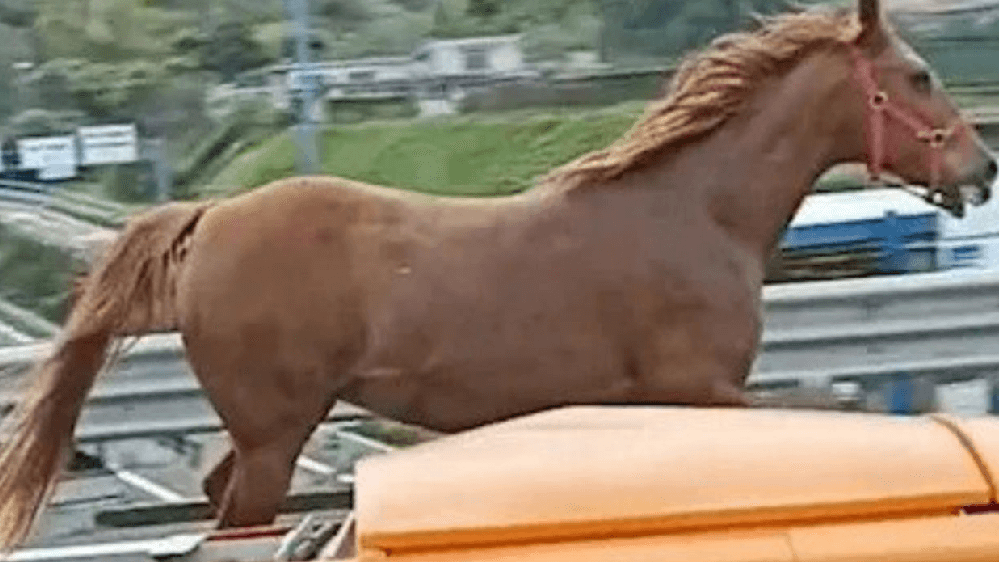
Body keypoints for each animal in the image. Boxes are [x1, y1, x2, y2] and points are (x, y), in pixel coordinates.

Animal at [0, 0, 994, 549]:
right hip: (277, 432)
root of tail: (210, 216)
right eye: (918, 75)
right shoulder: (702, 391)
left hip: (265, 431)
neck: (695, 213)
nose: (980, 167)